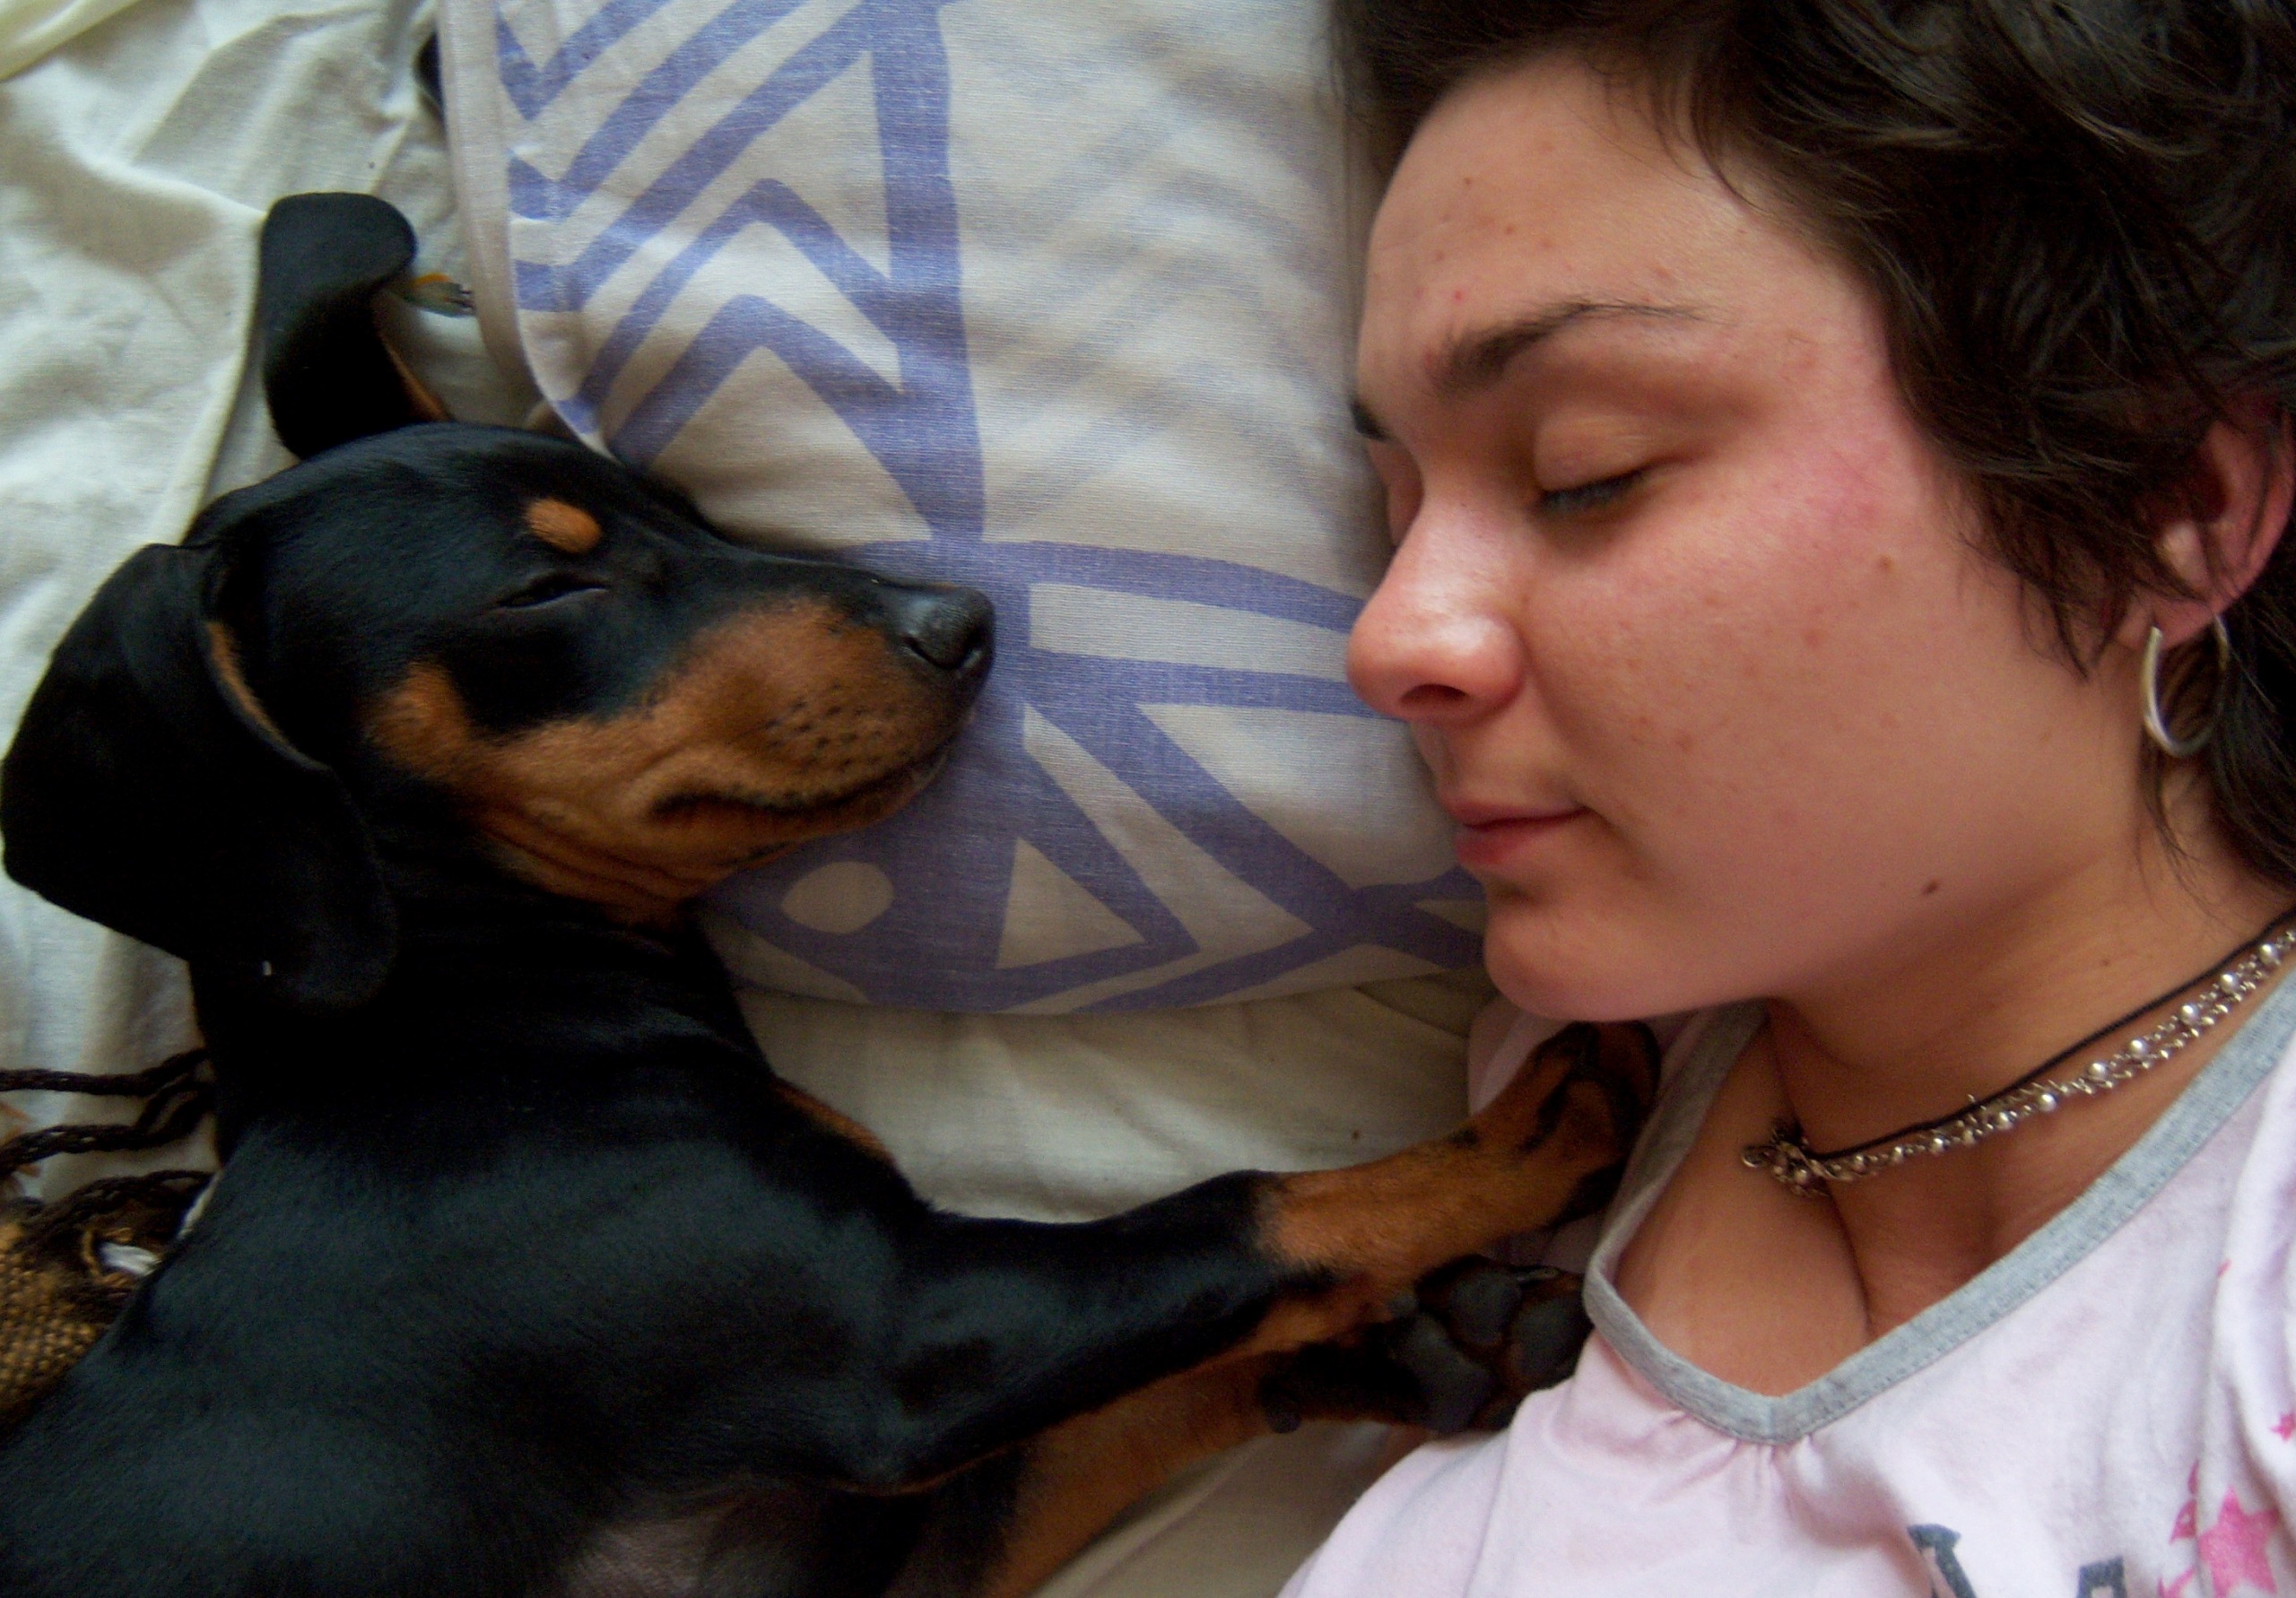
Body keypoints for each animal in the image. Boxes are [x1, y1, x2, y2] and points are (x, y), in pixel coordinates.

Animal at [0, 194, 1655, 1598]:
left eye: (673, 498)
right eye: (545, 590)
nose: (959, 618)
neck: (469, 1025)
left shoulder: (903, 1535)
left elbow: (1139, 1402)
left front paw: (1434, 1348)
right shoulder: (907, 1341)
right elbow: (1251, 1212)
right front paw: (1529, 1130)